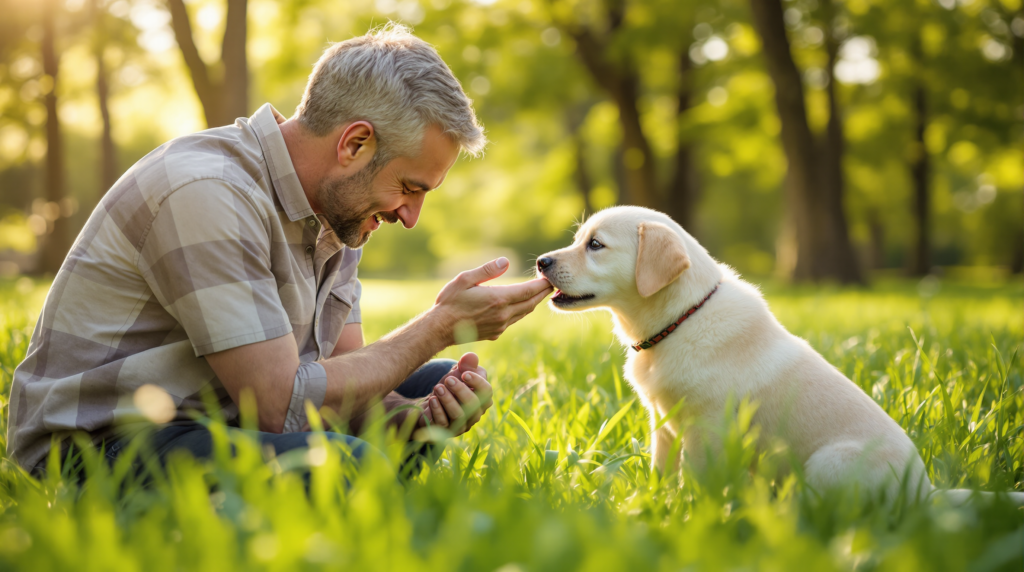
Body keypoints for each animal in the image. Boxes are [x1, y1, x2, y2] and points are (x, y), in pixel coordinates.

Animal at [540, 206, 1019, 505]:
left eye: (596, 245)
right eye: (579, 239)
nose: (542, 261)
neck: (682, 318)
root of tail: (926, 493)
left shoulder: (706, 429)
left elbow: (697, 480)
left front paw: (689, 513)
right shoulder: (664, 422)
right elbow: (662, 471)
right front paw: (654, 504)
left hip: (829, 462)